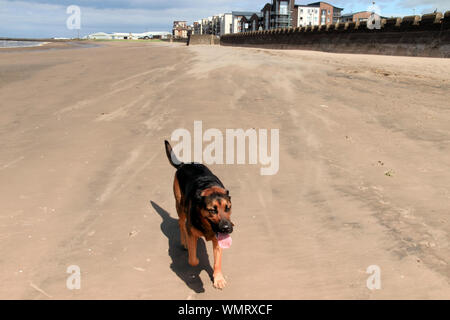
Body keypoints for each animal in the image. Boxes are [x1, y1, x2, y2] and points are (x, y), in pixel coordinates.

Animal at [165, 141, 236, 290]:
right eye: (212, 210)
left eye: (228, 208)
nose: (227, 228)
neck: (209, 188)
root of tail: (184, 164)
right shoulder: (192, 234)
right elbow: (193, 260)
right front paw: (195, 258)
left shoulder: (218, 240)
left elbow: (217, 262)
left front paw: (218, 278)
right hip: (180, 206)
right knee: (181, 223)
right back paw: (184, 242)